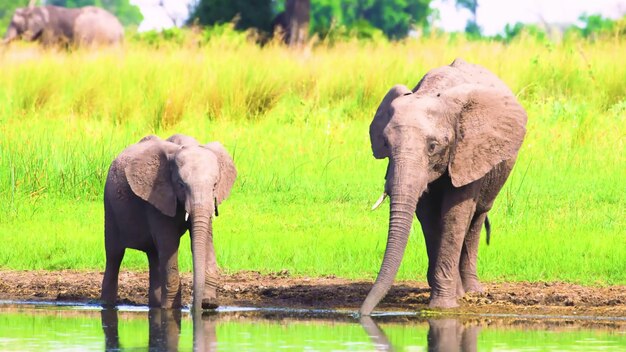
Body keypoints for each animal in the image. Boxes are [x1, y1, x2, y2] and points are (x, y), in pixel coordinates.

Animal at [101, 134, 238, 310]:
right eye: (181, 185)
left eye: (215, 185)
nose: (194, 305)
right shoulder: (156, 196)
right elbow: (170, 243)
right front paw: (172, 309)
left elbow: (206, 239)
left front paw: (208, 303)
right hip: (109, 207)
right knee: (114, 255)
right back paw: (107, 305)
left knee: (154, 256)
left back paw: (155, 305)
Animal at [356, 59, 528, 314]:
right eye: (386, 143)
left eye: (433, 146)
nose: (362, 313)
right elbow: (428, 216)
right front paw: (449, 296)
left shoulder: (468, 150)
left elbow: (455, 214)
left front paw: (444, 306)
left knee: (476, 219)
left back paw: (473, 291)